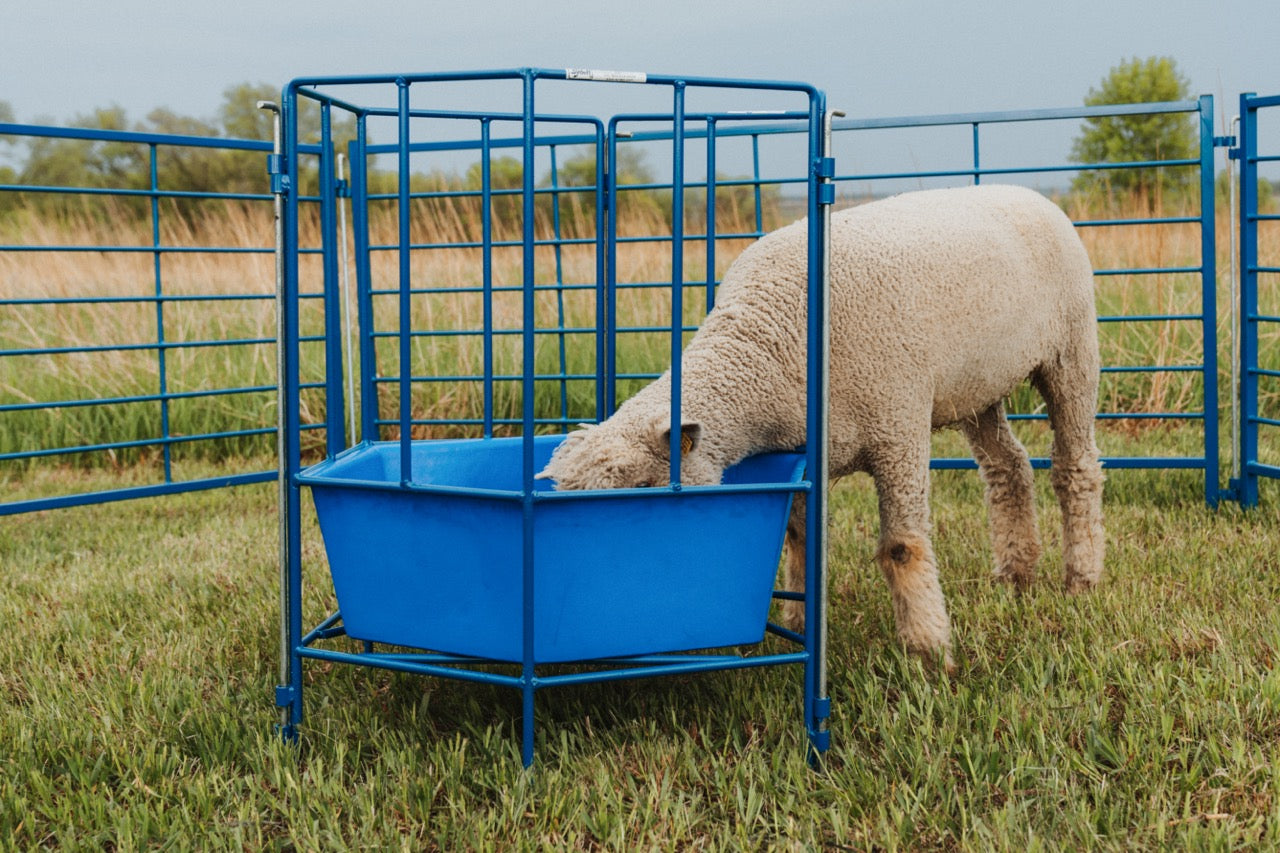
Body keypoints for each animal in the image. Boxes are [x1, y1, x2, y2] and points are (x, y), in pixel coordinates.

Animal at [537, 184, 1105, 671]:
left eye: (640, 486)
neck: (769, 350)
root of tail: (1027, 192)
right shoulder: (809, 453)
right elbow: (799, 538)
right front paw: (799, 622)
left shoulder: (897, 425)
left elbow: (902, 548)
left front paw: (928, 653)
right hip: (978, 385)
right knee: (1008, 467)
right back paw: (1015, 576)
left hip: (1071, 350)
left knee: (1074, 466)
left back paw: (1081, 579)